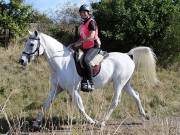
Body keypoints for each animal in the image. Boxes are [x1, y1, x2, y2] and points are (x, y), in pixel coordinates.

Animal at [19, 30, 158, 127]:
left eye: (31, 44)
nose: (22, 61)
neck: (61, 63)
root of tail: (128, 55)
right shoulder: (57, 88)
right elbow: (45, 104)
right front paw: (36, 123)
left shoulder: (73, 90)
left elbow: (80, 107)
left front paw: (92, 121)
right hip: (125, 83)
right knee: (136, 95)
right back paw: (144, 115)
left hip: (119, 83)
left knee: (115, 101)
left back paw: (102, 122)